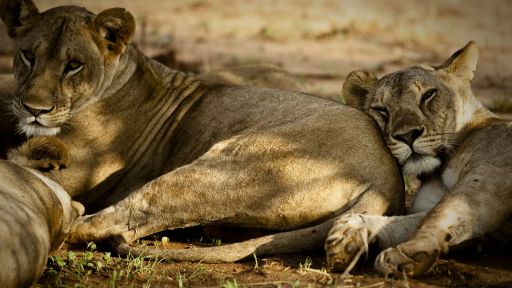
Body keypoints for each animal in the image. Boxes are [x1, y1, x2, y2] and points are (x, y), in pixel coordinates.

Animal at [2, 0, 406, 266]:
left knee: (110, 219)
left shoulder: (79, 169)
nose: (34, 109)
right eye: (27, 55)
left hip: (217, 170)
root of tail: (389, 177)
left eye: (74, 65)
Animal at [324, 41, 512, 276]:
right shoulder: (490, 233)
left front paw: (410, 254)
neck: (438, 170)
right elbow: (405, 222)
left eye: (428, 95)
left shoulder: (490, 173)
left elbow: (438, 214)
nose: (407, 135)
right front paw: (350, 232)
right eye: (381, 109)